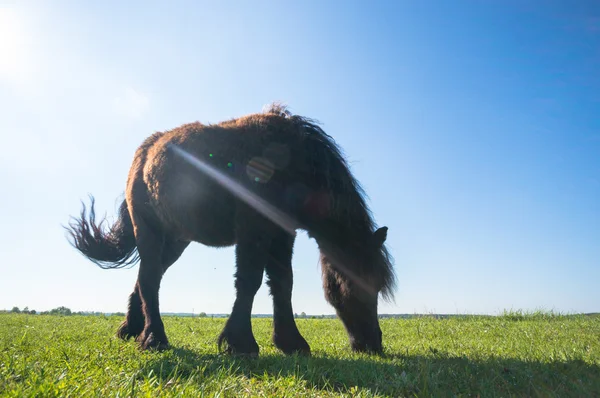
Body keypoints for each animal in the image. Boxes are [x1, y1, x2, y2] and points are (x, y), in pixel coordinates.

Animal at [65, 104, 396, 356]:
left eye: (378, 285)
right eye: (356, 285)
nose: (373, 343)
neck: (294, 163)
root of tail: (145, 152)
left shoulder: (282, 234)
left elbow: (282, 284)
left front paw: (291, 342)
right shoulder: (254, 229)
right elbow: (249, 281)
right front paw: (240, 342)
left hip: (176, 240)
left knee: (147, 276)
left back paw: (132, 329)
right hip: (149, 230)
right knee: (149, 279)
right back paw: (154, 338)